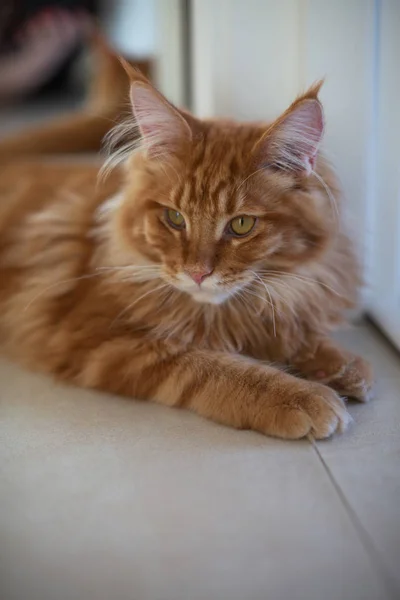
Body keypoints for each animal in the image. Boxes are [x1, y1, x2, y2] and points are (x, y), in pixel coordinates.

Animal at [0, 39, 376, 438]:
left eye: (242, 224)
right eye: (174, 218)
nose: (197, 273)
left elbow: (292, 331)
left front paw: (342, 364)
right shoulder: (104, 340)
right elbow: (214, 368)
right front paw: (301, 396)